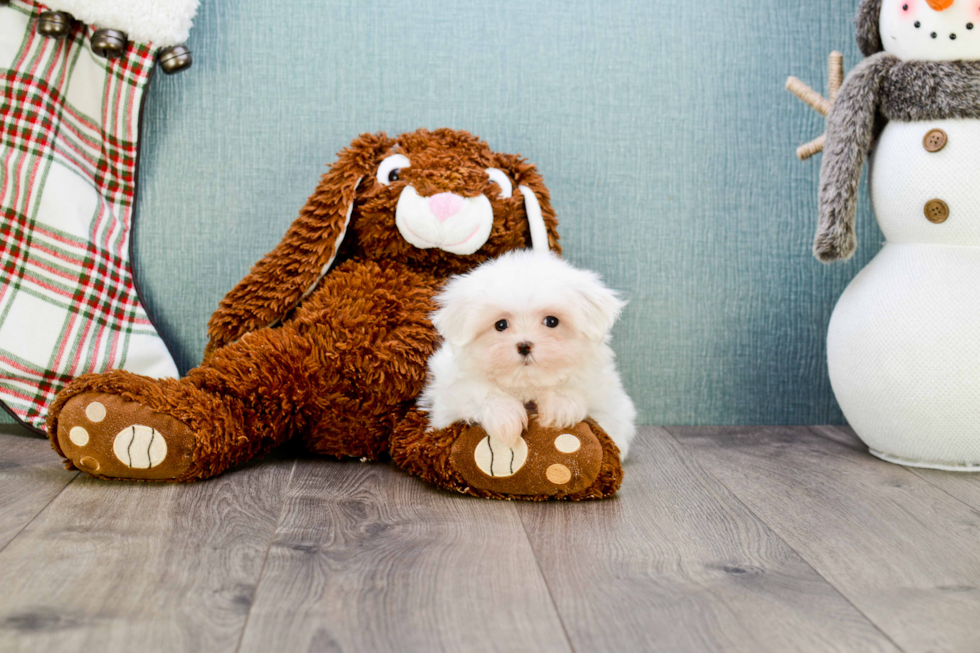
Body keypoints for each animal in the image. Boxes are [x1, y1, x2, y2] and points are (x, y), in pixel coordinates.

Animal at [420, 248, 636, 458]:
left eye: (551, 321)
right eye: (500, 325)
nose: (524, 346)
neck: (527, 385)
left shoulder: (612, 406)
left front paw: (561, 404)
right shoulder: (448, 401)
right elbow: (477, 390)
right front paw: (504, 416)